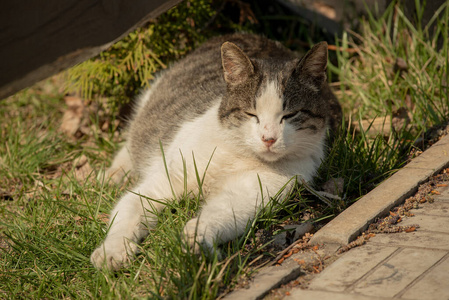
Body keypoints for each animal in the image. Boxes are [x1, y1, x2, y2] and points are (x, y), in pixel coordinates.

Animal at [93, 33, 342, 272]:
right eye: (251, 114)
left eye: (290, 115)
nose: (268, 138)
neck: (238, 154)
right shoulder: (163, 181)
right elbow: (129, 209)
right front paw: (111, 252)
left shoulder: (256, 192)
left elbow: (222, 214)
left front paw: (197, 237)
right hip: (149, 98)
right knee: (130, 140)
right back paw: (113, 174)